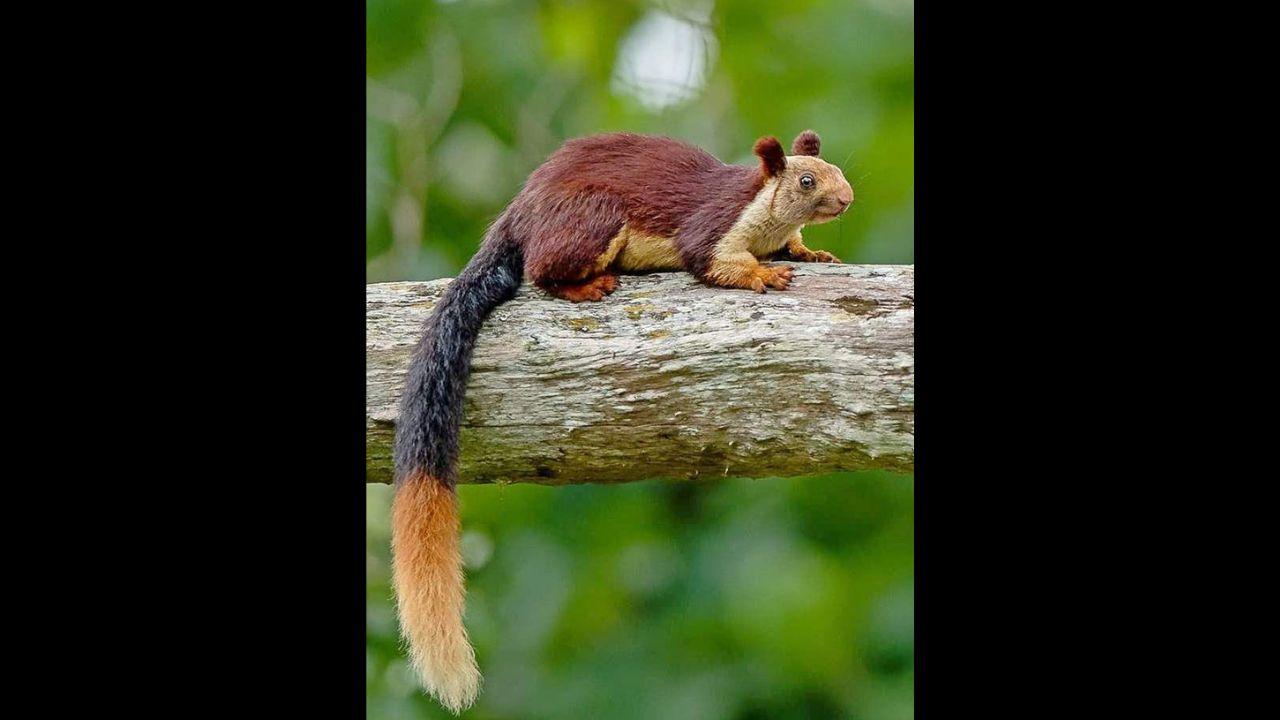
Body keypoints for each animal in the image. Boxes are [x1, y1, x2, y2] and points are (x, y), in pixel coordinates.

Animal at [391, 130, 853, 713]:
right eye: (807, 180)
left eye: (838, 169)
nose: (847, 198)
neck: (763, 216)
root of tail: (516, 215)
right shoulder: (713, 225)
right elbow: (713, 261)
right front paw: (765, 272)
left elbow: (794, 245)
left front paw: (810, 250)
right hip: (592, 221)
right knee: (541, 270)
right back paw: (587, 287)